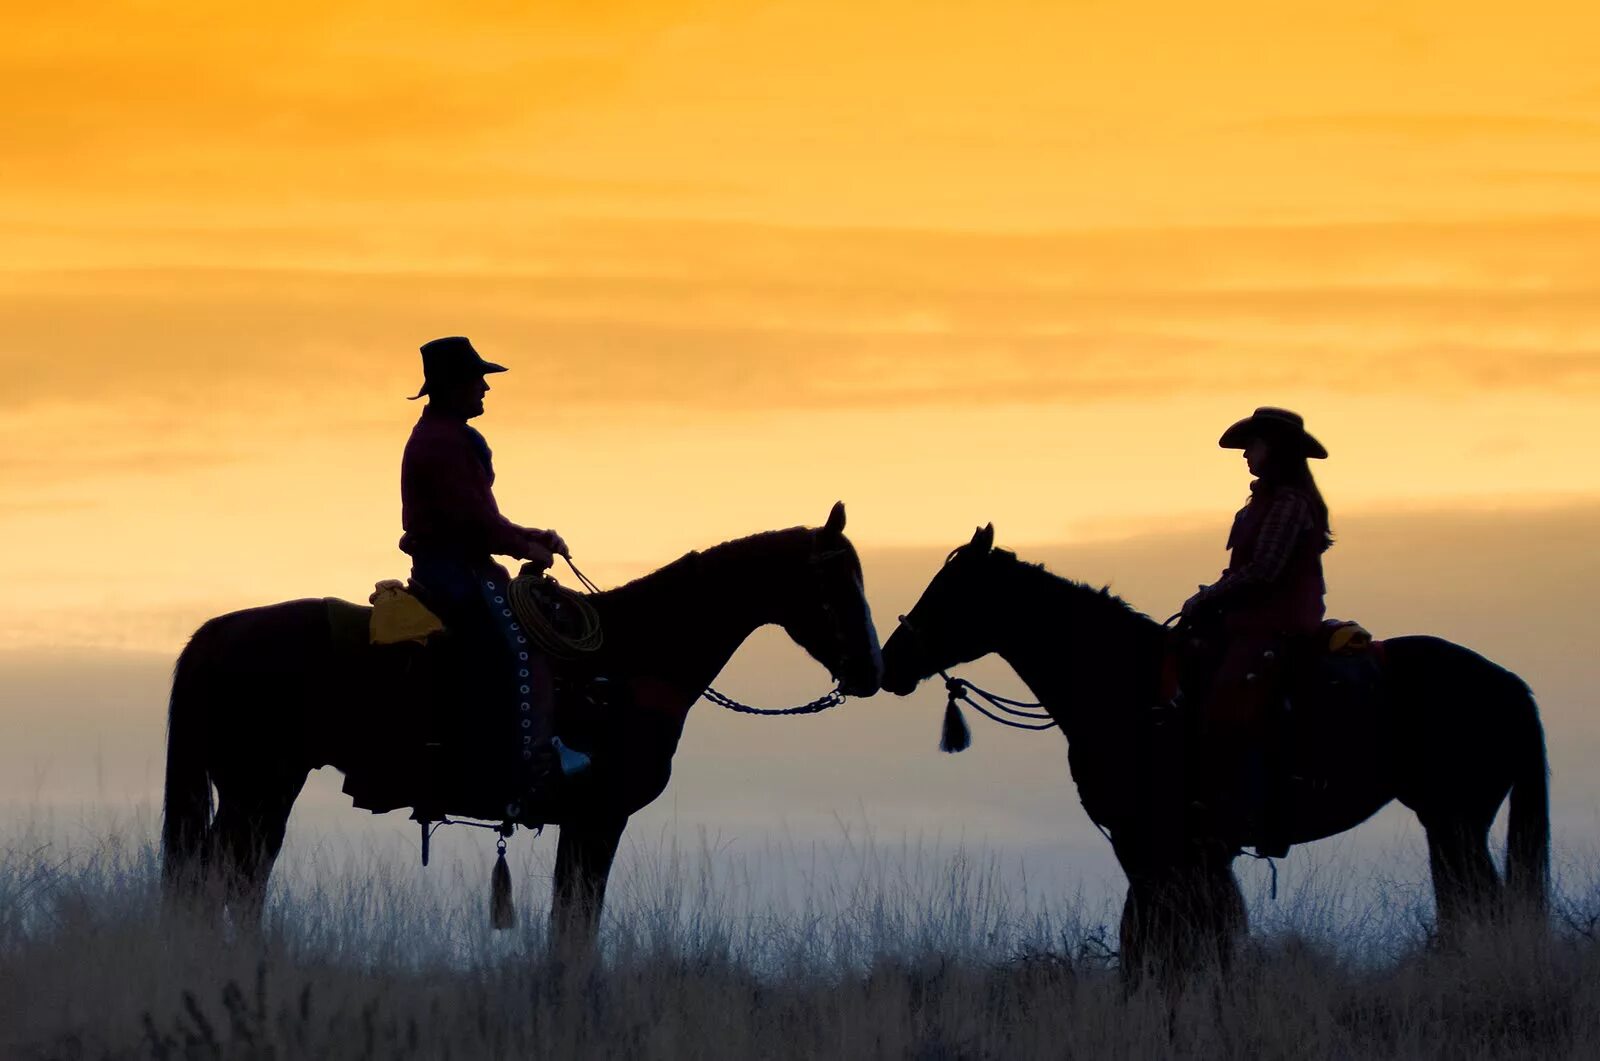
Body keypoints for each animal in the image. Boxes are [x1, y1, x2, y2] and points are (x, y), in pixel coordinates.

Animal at [164, 502, 889, 947]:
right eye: (836, 582)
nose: (872, 669)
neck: (629, 658)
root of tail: (215, 633)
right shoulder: (599, 818)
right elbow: (576, 925)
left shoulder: (586, 823)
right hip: (259, 787)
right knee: (221, 879)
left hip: (259, 792)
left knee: (232, 879)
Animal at [883, 528, 1542, 985]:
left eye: (948, 593)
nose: (889, 662)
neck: (1132, 690)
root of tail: (1509, 684)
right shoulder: (1172, 851)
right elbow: (1172, 936)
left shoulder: (1155, 844)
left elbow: (1161, 938)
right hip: (1448, 823)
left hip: (1456, 821)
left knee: (1479, 905)